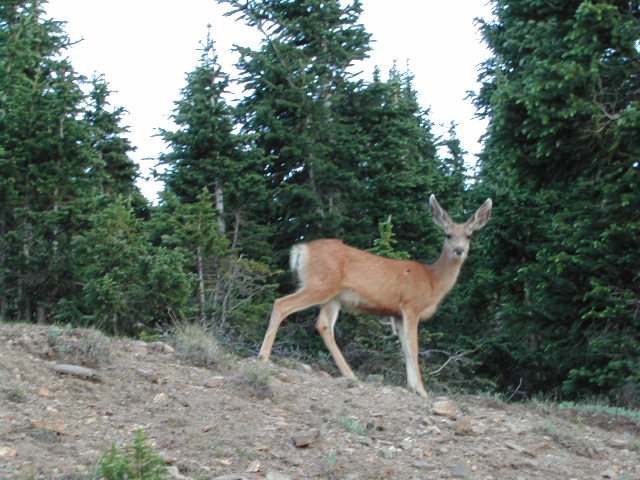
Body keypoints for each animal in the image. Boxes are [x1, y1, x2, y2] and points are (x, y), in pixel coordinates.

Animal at [258, 193, 492, 396]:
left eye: (469, 235)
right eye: (448, 234)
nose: (459, 250)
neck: (432, 281)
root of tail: (301, 250)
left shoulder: (397, 314)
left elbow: (405, 348)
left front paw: (411, 387)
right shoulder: (411, 305)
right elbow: (414, 348)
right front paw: (422, 391)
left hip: (333, 296)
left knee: (323, 325)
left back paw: (350, 375)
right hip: (321, 283)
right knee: (282, 303)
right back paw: (263, 356)